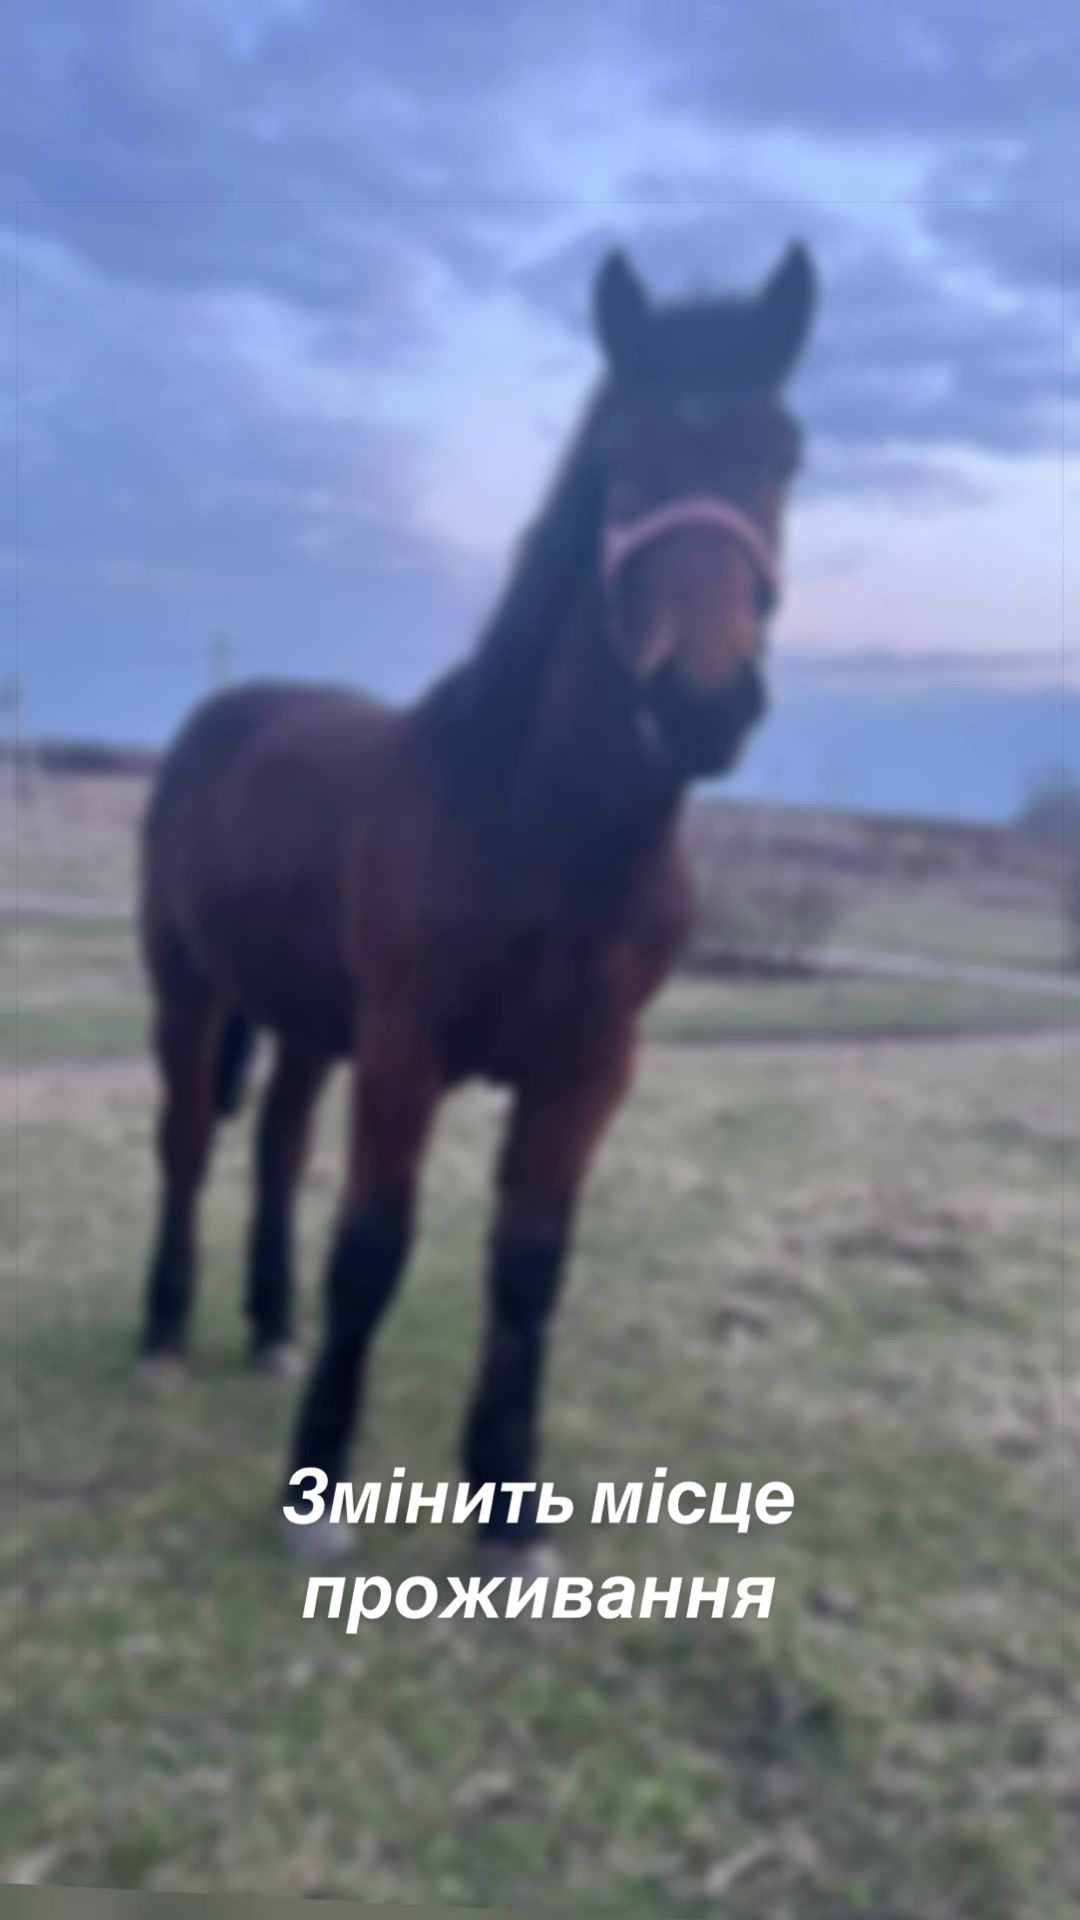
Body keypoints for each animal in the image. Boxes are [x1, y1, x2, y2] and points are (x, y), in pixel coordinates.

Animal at [136, 242, 817, 1560]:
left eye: (785, 456)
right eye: (622, 463)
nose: (703, 704)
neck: (536, 826)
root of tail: (222, 717)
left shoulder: (587, 1067)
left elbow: (530, 1264)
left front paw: (508, 1502)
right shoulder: (407, 1047)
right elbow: (374, 1249)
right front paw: (318, 1492)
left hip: (309, 1024)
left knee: (277, 1148)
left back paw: (269, 1331)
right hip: (186, 987)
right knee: (189, 1140)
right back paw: (165, 1337)